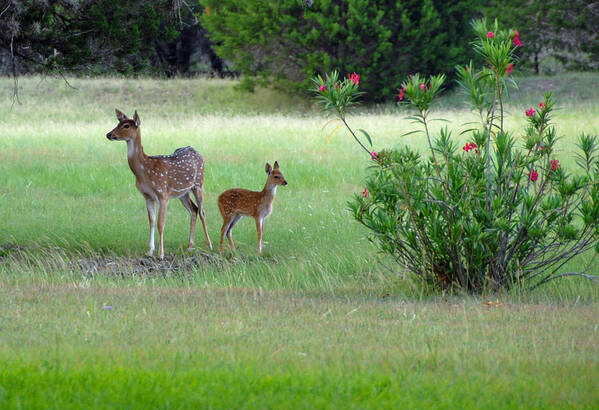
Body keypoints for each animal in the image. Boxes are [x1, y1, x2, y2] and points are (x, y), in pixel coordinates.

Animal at [106, 107, 212, 258]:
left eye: (126, 126)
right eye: (118, 123)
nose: (109, 134)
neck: (144, 172)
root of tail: (195, 150)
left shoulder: (163, 194)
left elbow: (161, 224)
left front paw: (161, 254)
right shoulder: (147, 196)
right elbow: (151, 221)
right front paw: (149, 251)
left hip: (199, 183)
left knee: (202, 211)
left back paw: (209, 245)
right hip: (182, 192)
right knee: (194, 210)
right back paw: (190, 246)